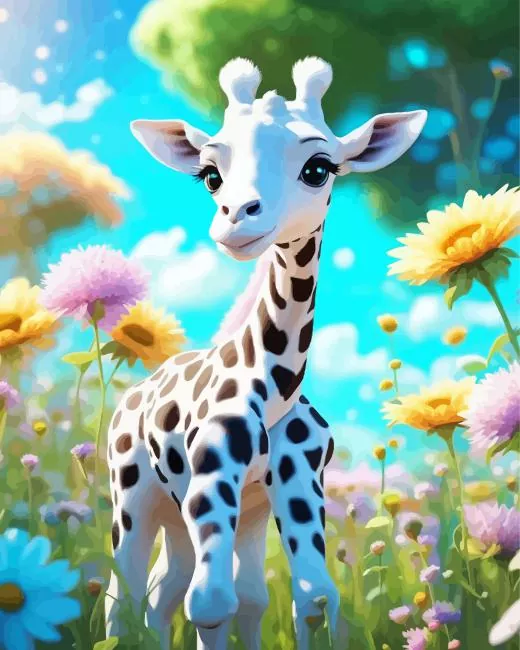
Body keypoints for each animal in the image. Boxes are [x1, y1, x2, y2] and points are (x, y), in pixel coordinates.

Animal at [105, 57, 426, 650]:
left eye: (319, 168)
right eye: (210, 175)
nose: (236, 219)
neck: (272, 387)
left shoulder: (298, 476)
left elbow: (312, 597)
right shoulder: (212, 471)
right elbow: (211, 603)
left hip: (212, 511)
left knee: (166, 592)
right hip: (133, 494)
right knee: (127, 595)